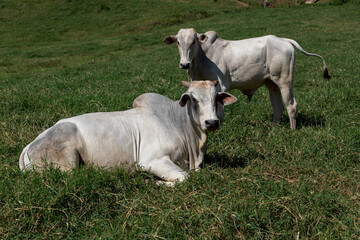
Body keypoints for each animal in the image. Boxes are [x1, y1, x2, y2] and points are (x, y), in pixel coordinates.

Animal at [20, 80, 239, 186]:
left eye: (216, 98)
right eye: (194, 99)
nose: (212, 122)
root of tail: (28, 147)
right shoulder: (152, 160)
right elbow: (184, 178)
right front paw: (154, 182)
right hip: (67, 165)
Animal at [165, 28, 330, 129]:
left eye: (193, 41)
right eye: (178, 42)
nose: (184, 64)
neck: (201, 58)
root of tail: (283, 40)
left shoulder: (220, 86)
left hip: (285, 81)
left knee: (291, 105)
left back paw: (292, 130)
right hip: (272, 83)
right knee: (278, 107)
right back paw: (274, 128)